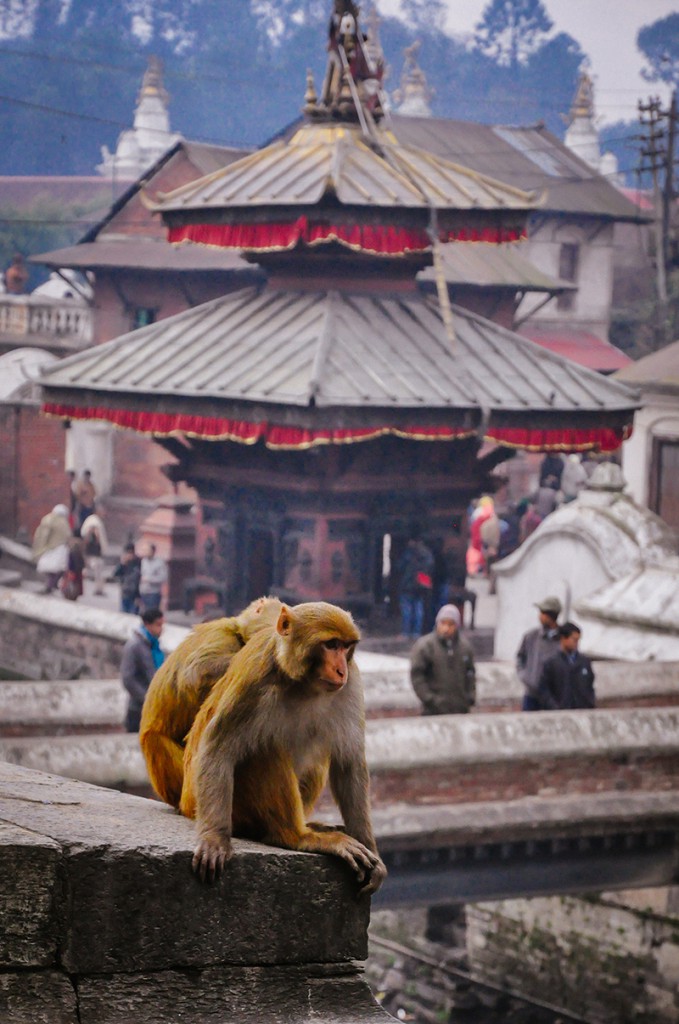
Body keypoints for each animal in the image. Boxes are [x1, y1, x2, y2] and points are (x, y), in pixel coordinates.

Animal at [179, 598, 387, 897]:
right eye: (331, 644)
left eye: (346, 647)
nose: (341, 670)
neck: (302, 683)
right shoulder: (255, 680)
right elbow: (218, 748)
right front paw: (215, 838)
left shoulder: (351, 685)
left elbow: (349, 764)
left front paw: (373, 852)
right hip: (221, 806)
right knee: (265, 749)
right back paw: (296, 836)